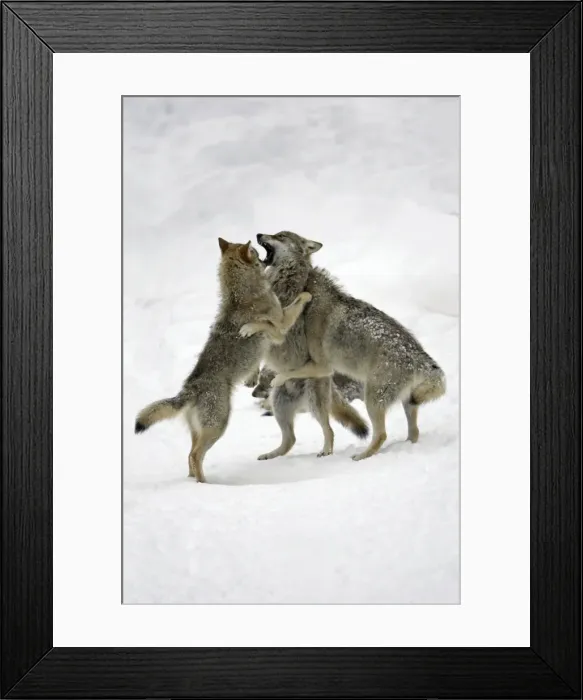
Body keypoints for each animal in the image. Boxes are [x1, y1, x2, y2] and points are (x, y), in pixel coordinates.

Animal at [134, 238, 312, 482]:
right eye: (255, 252)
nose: (262, 256)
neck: (241, 294)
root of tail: (189, 389)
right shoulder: (281, 326)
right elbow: (296, 302)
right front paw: (307, 295)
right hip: (218, 427)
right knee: (195, 455)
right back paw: (204, 484)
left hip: (202, 431)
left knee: (189, 455)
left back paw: (194, 481)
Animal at [247, 231, 446, 461]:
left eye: (280, 235)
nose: (258, 234)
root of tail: (422, 358)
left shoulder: (321, 365)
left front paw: (275, 374)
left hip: (365, 400)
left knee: (369, 433)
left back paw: (356, 455)